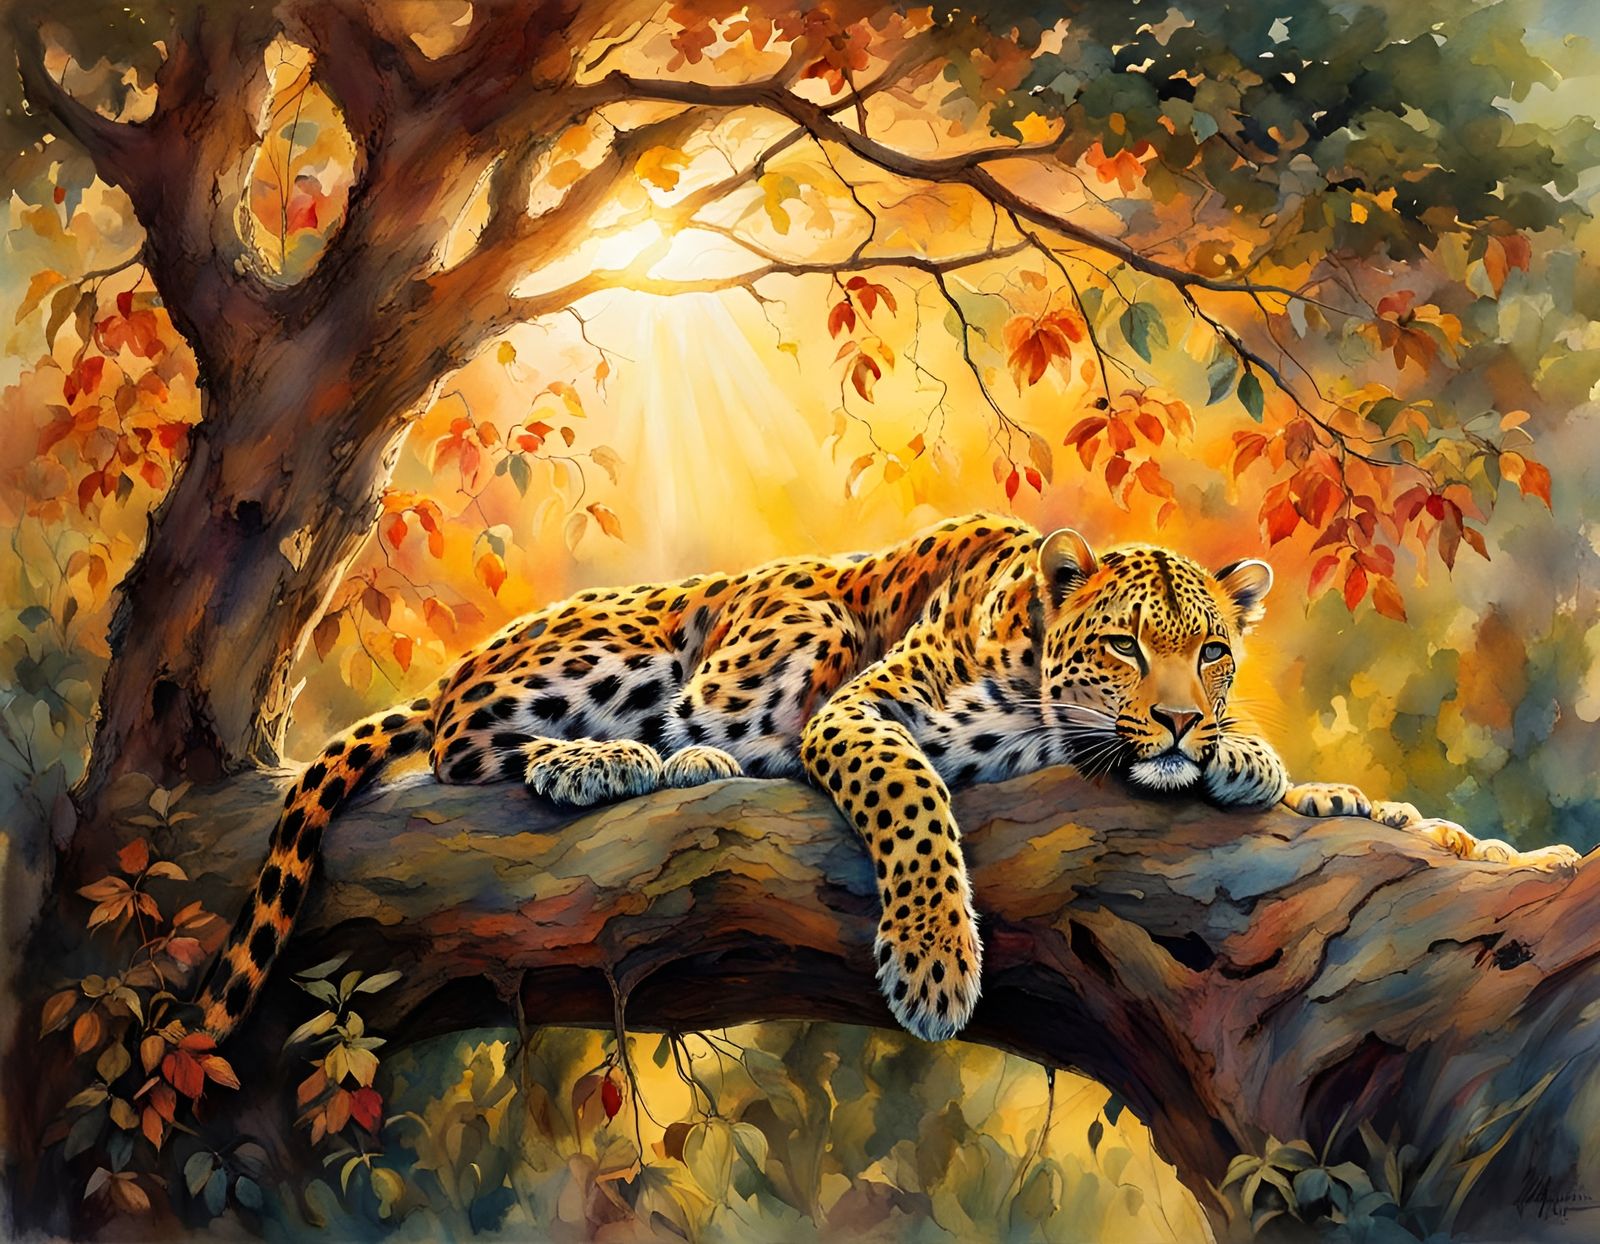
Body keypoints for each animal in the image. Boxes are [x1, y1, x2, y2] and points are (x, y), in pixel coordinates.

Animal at [196, 512, 1576, 1044]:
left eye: (1213, 652)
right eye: (1127, 646)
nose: (1186, 719)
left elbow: (1349, 800)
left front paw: (1268, 762)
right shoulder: (864, 707)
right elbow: (915, 803)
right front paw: (932, 961)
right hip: (698, 628)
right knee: (469, 741)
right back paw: (614, 755)